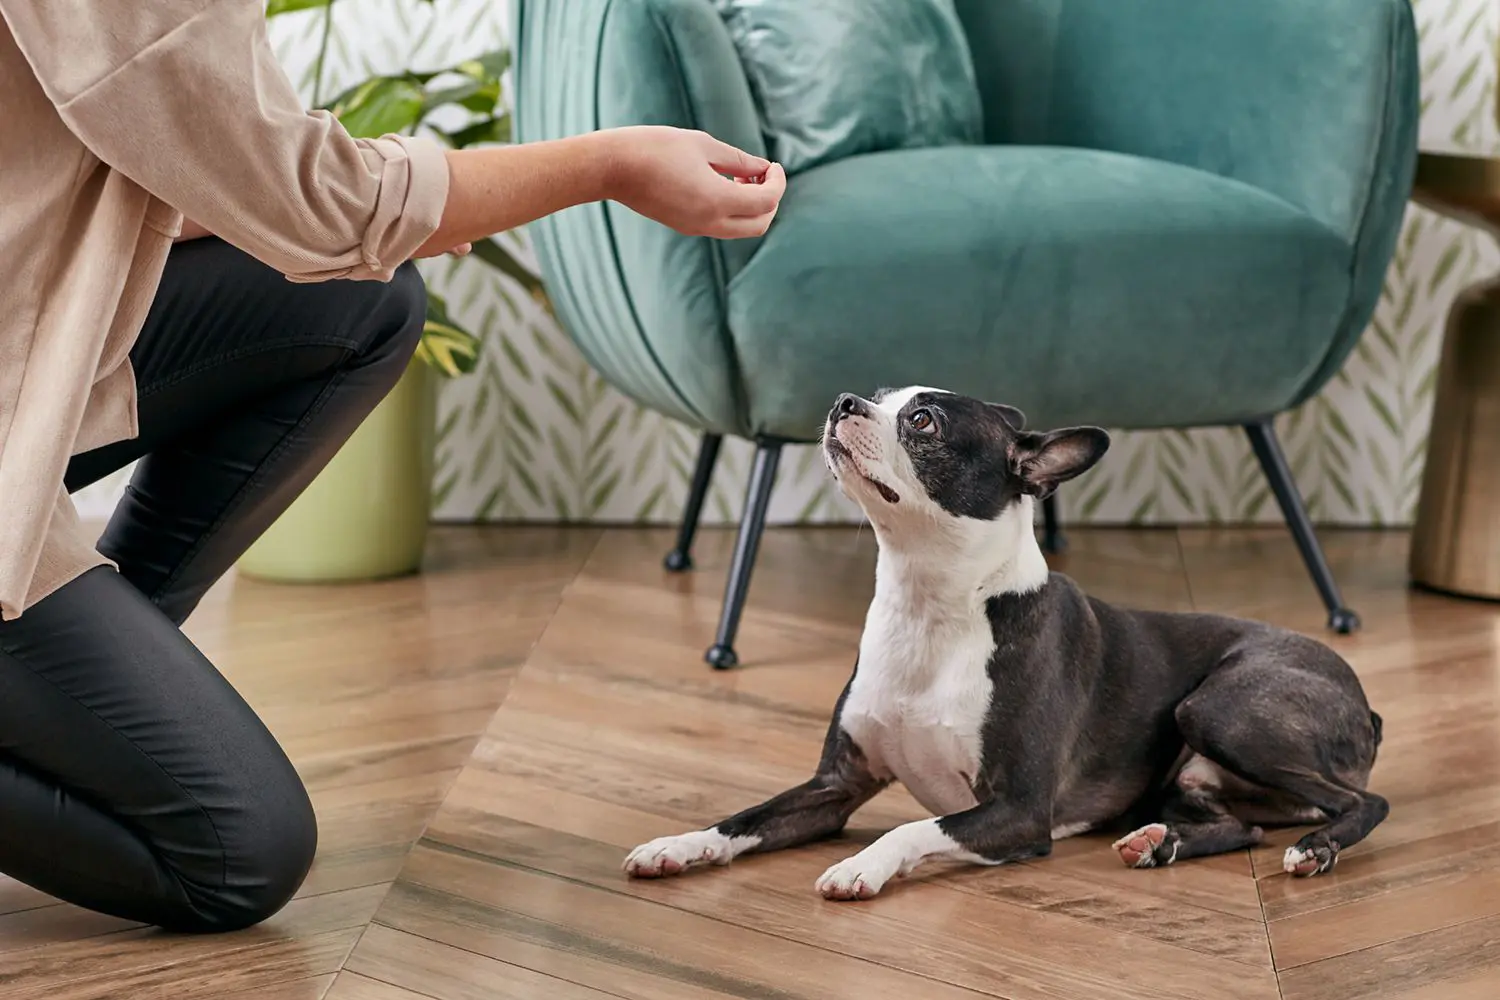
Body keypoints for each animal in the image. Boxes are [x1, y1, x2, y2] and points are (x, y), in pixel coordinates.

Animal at [621, 386, 1380, 899]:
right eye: (878, 396)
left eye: (922, 421)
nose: (843, 401)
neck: (927, 606)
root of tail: (1365, 705)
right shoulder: (835, 785)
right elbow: (745, 817)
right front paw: (677, 845)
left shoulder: (1018, 812)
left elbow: (912, 828)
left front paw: (861, 865)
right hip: (1193, 779)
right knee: (1244, 827)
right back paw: (1158, 845)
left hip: (1215, 708)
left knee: (1363, 804)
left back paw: (1316, 849)